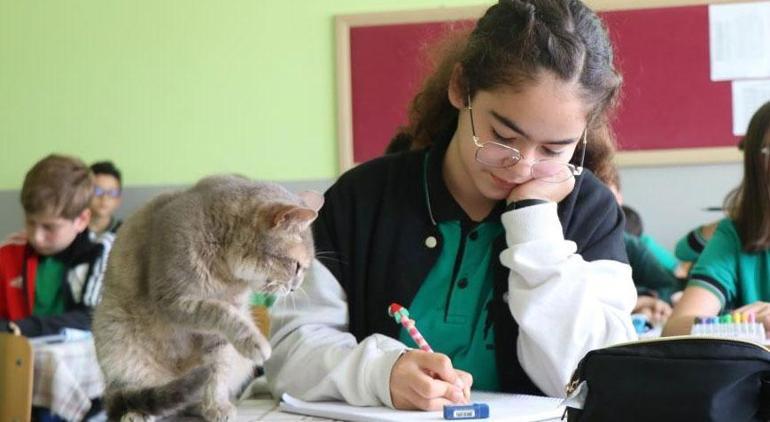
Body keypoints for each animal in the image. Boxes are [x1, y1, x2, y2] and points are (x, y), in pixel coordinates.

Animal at [92, 173, 320, 420]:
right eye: (296, 266)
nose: (295, 288)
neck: (226, 273)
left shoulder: (220, 332)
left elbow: (217, 369)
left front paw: (216, 406)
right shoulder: (172, 300)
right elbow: (220, 311)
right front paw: (256, 343)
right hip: (117, 343)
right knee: (139, 395)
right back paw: (138, 413)